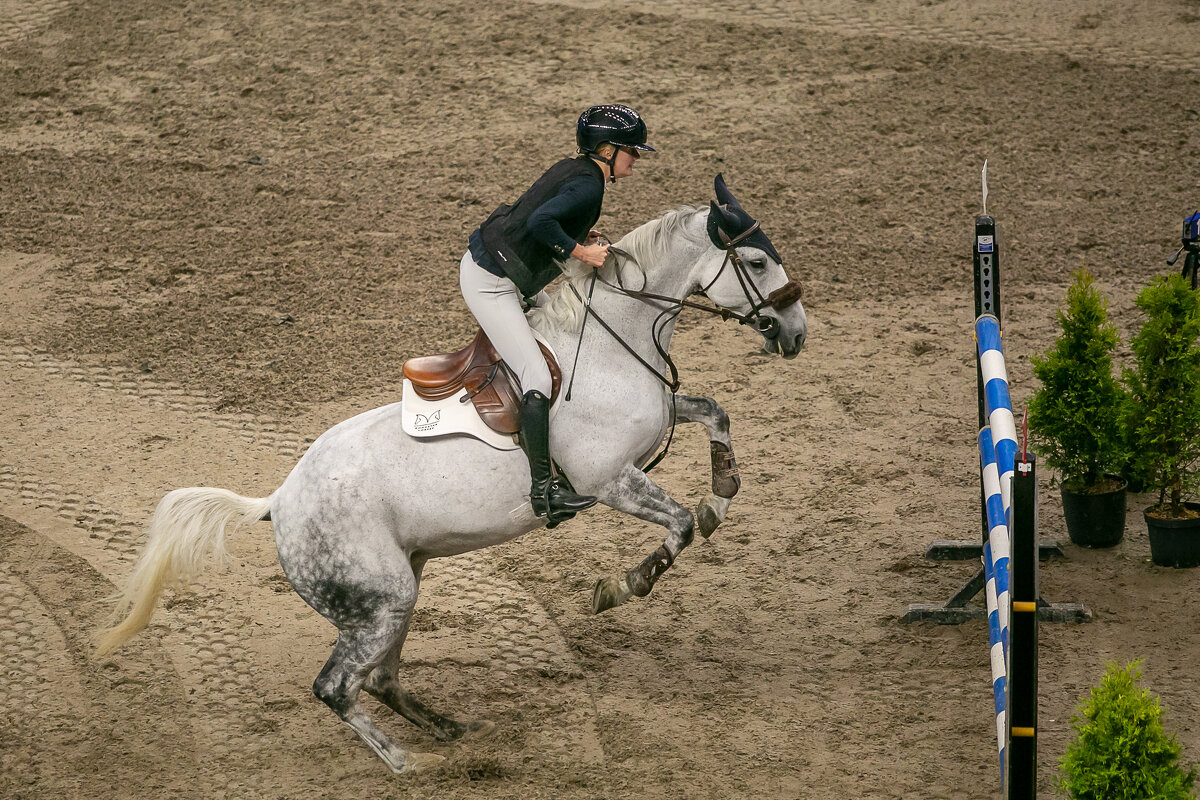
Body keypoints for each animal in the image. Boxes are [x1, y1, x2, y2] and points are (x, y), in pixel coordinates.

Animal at [96, 176, 806, 777]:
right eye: (758, 262)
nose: (795, 333)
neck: (612, 338)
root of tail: (278, 501)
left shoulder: (657, 426)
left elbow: (715, 415)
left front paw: (723, 492)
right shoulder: (610, 479)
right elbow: (678, 526)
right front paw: (621, 586)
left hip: (400, 590)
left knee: (378, 680)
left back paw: (453, 729)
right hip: (382, 600)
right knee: (337, 687)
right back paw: (406, 761)